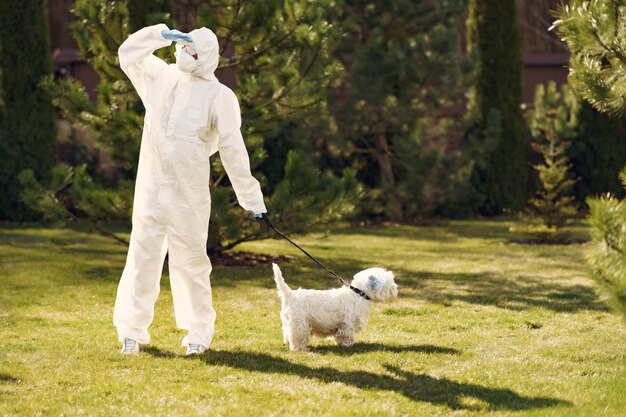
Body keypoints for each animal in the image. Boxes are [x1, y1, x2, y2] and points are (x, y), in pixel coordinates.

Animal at [270, 264, 398, 350]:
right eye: (389, 282)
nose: (396, 288)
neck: (358, 294)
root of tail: (290, 294)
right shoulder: (347, 323)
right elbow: (346, 335)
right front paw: (347, 345)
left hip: (287, 321)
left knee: (287, 333)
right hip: (300, 323)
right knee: (297, 337)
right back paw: (301, 348)